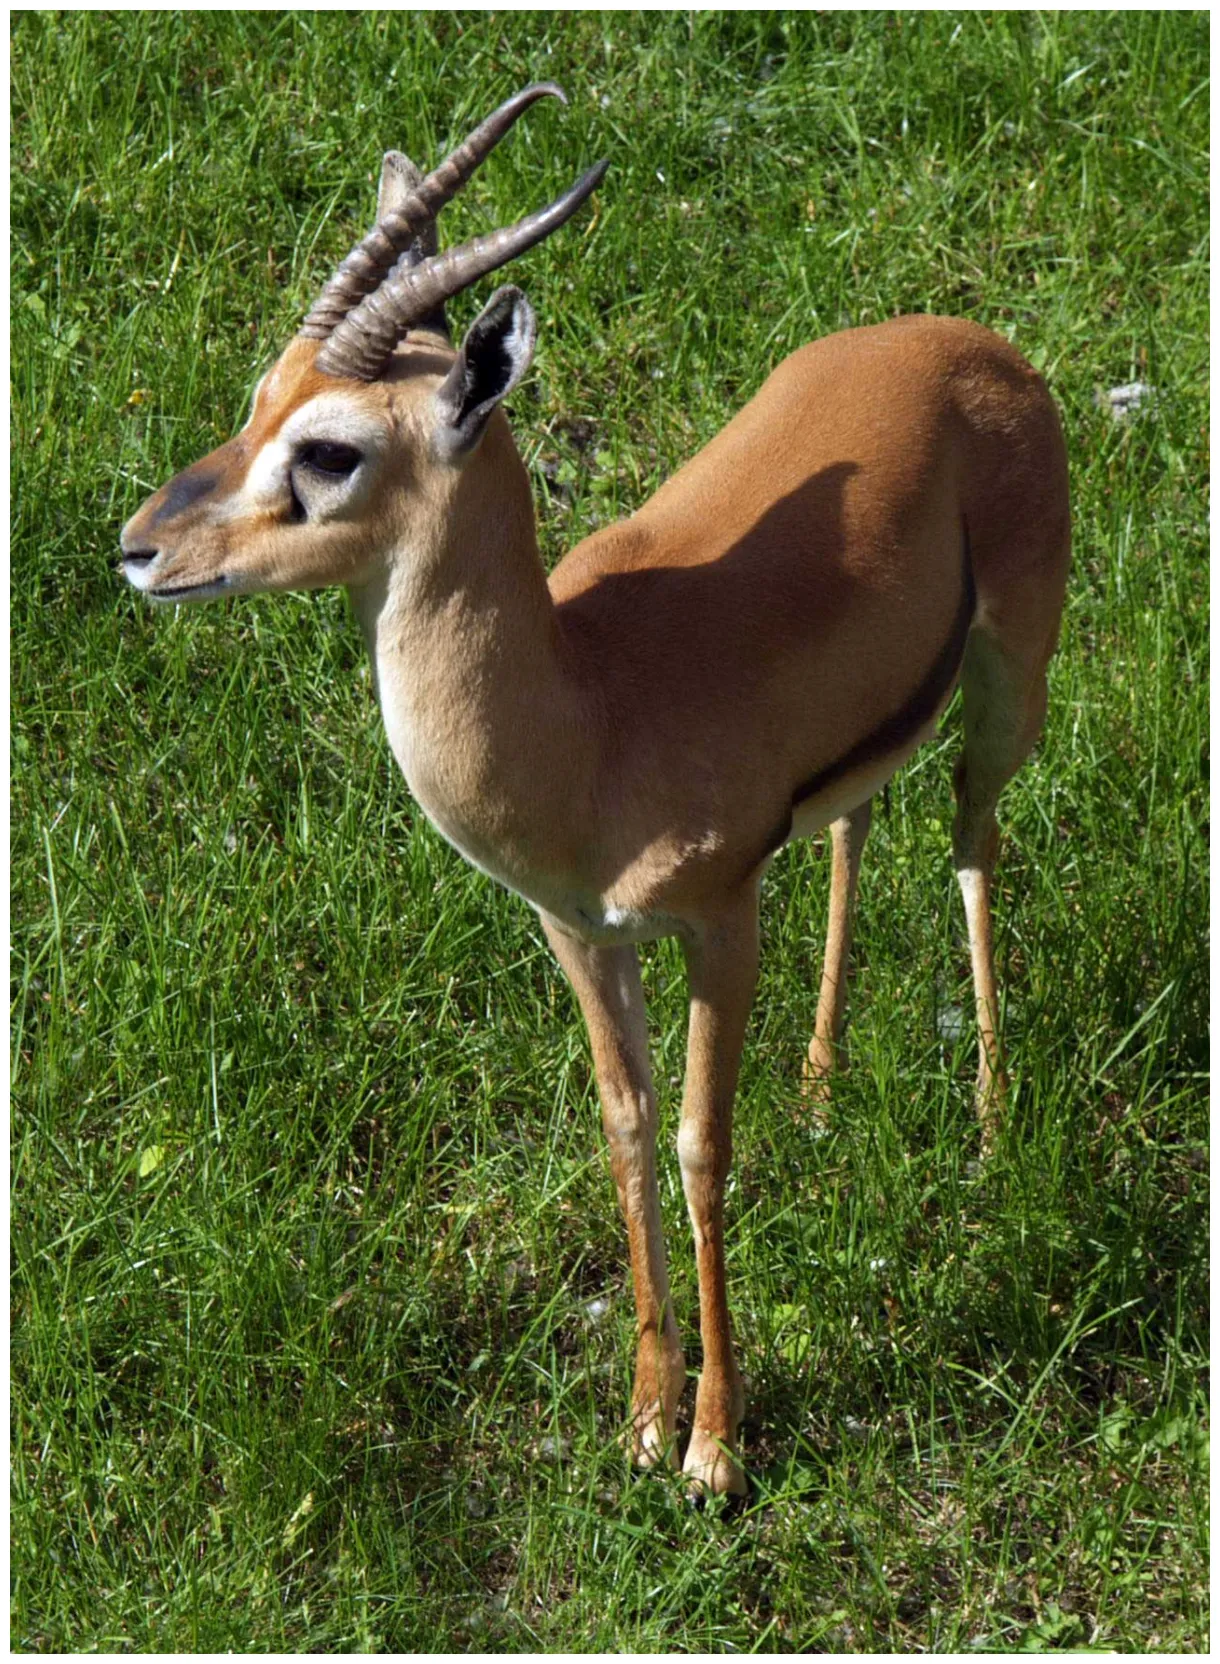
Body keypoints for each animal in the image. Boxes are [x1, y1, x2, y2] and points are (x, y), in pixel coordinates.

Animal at [120, 84, 1071, 1496]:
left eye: (329, 451)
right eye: (259, 396)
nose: (140, 548)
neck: (589, 714)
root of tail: (970, 342)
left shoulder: (719, 920)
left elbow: (696, 1144)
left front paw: (715, 1450)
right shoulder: (576, 930)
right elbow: (624, 1131)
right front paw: (638, 1418)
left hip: (1013, 672)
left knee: (972, 834)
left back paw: (993, 1125)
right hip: (872, 738)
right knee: (860, 816)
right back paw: (823, 1084)